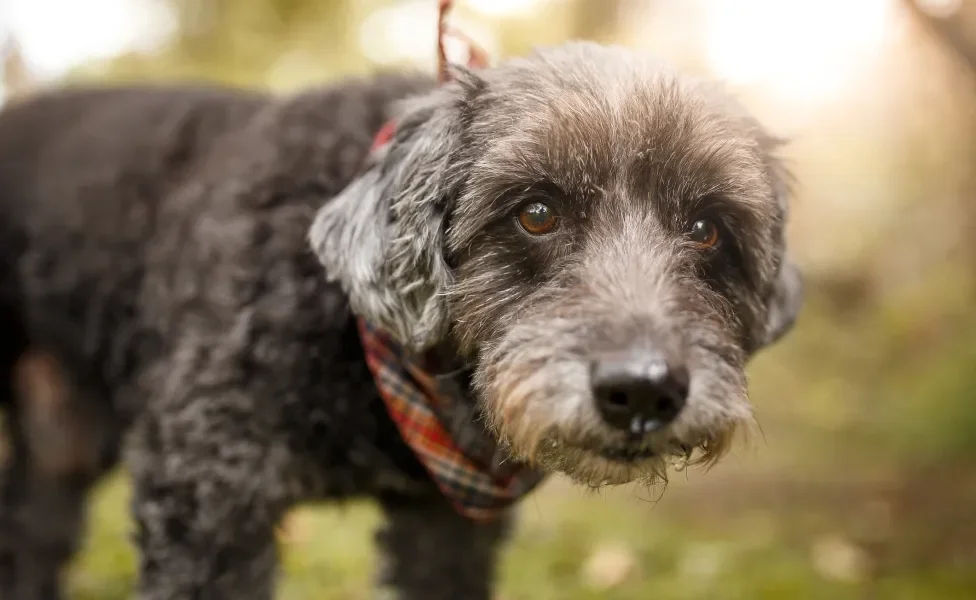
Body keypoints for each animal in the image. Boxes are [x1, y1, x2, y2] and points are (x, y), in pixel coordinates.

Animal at [0, 43, 800, 600]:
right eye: (536, 212)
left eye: (707, 229)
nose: (643, 390)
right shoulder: (206, 496)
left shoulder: (445, 531)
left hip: (60, 452)